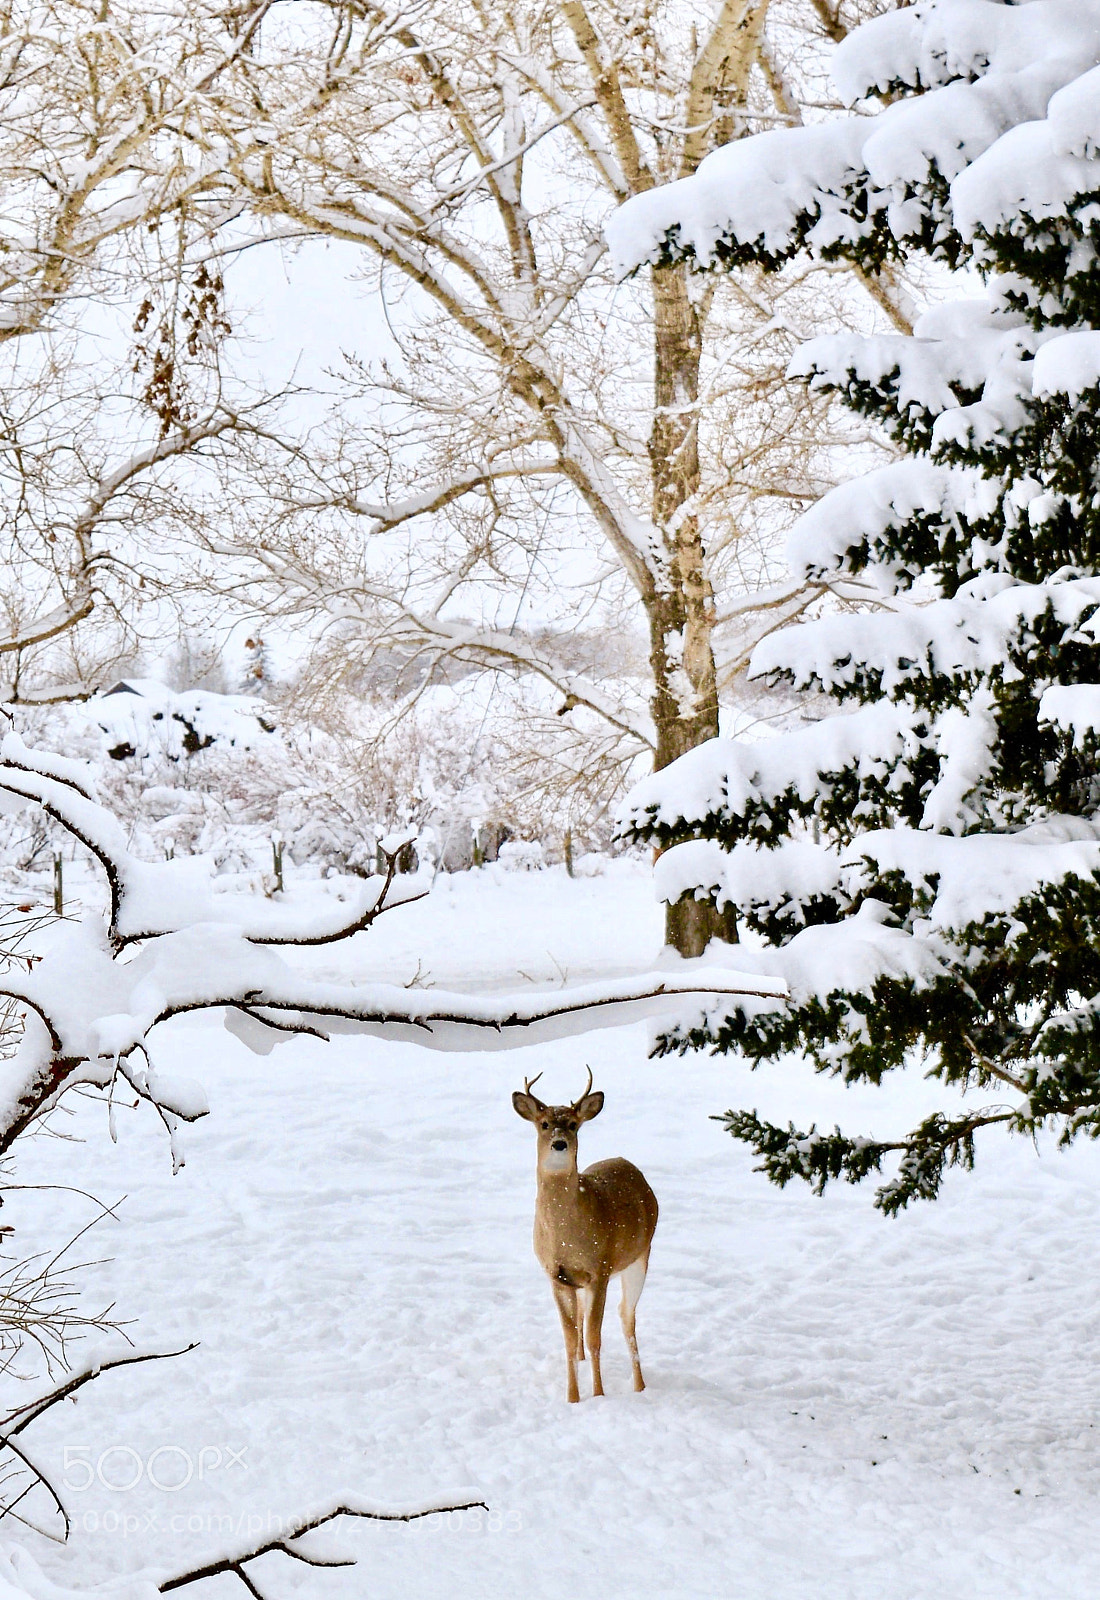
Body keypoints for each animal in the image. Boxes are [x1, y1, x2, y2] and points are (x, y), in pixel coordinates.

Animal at [512, 1067, 658, 1403]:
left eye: (573, 1124)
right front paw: (572, 1398)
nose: (559, 1144)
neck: (566, 1235)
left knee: (626, 1316)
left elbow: (595, 1336)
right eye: (544, 1124)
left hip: (639, 1257)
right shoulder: (556, 1275)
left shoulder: (599, 1270)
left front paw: (599, 1394)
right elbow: (569, 1337)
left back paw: (640, 1385)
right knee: (583, 1319)